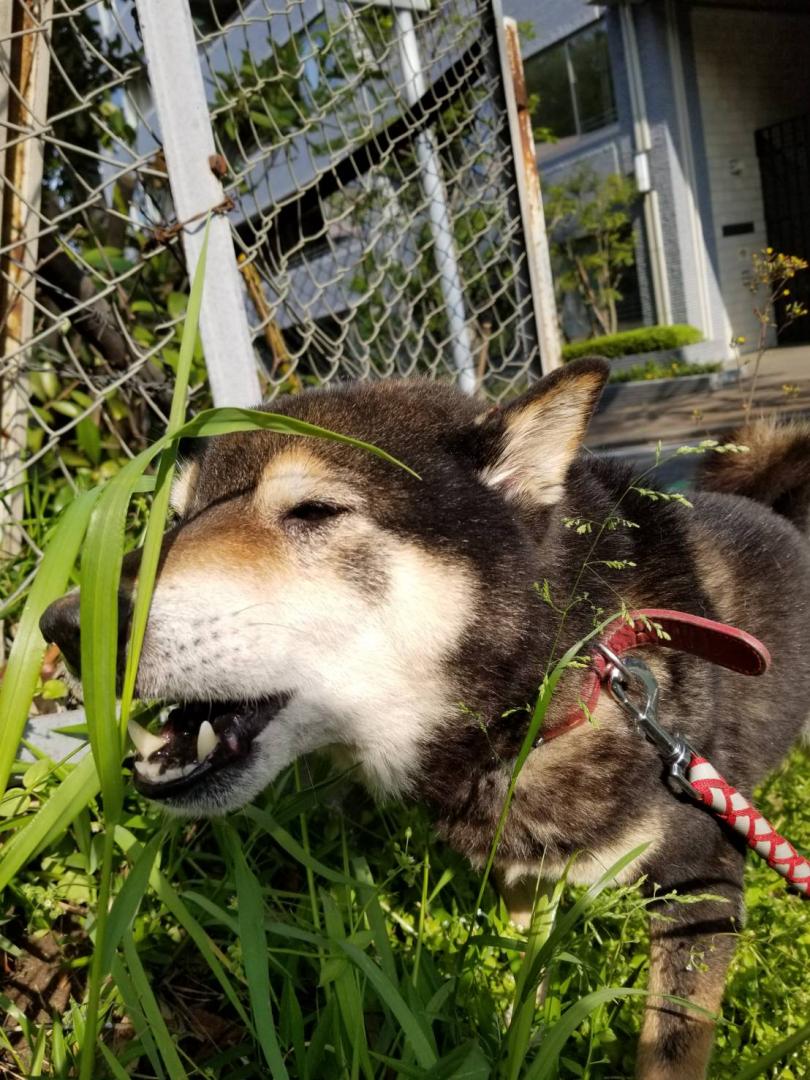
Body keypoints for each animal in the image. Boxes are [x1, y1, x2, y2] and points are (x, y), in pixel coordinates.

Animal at [39, 362, 810, 1080]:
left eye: (315, 510)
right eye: (174, 520)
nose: (65, 625)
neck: (550, 693)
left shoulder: (704, 884)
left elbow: (670, 1042)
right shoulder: (522, 869)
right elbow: (525, 954)